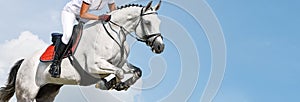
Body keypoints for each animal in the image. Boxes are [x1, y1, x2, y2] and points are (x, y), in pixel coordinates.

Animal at [0, 0, 164, 101]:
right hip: (26, 94)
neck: (114, 33)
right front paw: (107, 84)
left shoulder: (120, 63)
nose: (160, 47)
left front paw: (121, 85)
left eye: (159, 22)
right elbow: (119, 73)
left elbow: (136, 71)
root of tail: (23, 62)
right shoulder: (93, 65)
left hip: (47, 93)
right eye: (148, 22)